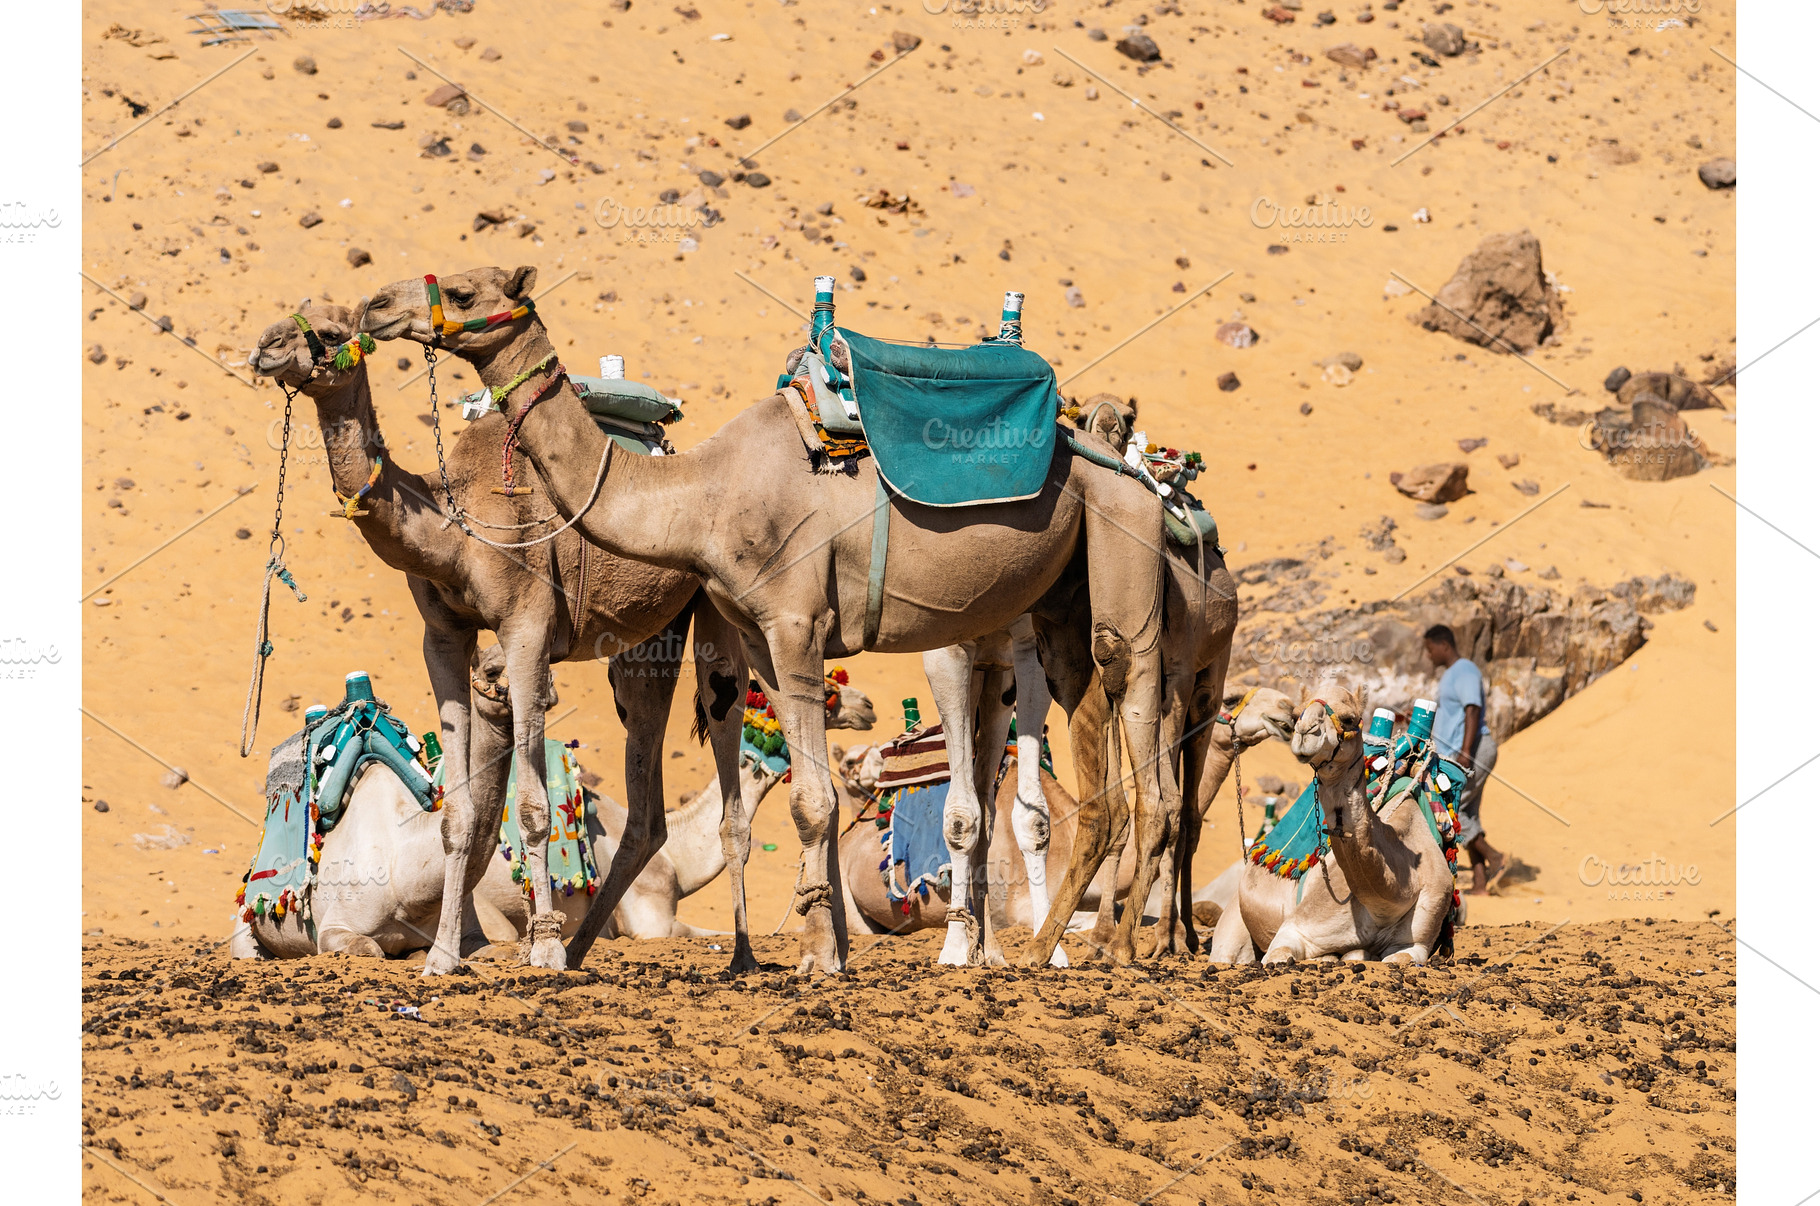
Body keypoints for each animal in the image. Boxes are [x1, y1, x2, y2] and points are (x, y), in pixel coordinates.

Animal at [249, 305, 748, 976]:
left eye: (330, 331)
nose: (266, 345)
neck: (453, 529)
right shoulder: (442, 636)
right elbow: (456, 812)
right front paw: (442, 956)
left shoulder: (526, 628)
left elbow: (534, 808)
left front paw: (542, 948)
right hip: (647, 641)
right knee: (646, 809)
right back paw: (584, 947)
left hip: (715, 608)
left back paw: (741, 957)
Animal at [360, 266, 1177, 975]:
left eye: (464, 289)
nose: (373, 306)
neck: (703, 495)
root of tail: (1124, 464)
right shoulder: (757, 633)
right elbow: (811, 797)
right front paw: (827, 950)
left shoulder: (795, 622)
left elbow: (813, 800)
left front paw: (817, 960)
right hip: (1060, 598)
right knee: (1097, 742)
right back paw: (1053, 947)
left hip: (1120, 536)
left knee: (1137, 710)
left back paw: (1110, 948)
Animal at [1205, 684, 1455, 966]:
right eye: (1297, 714)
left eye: (1349, 718)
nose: (1305, 732)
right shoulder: (1295, 929)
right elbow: (1280, 953)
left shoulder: (1416, 942)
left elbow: (1398, 956)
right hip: (1233, 922)